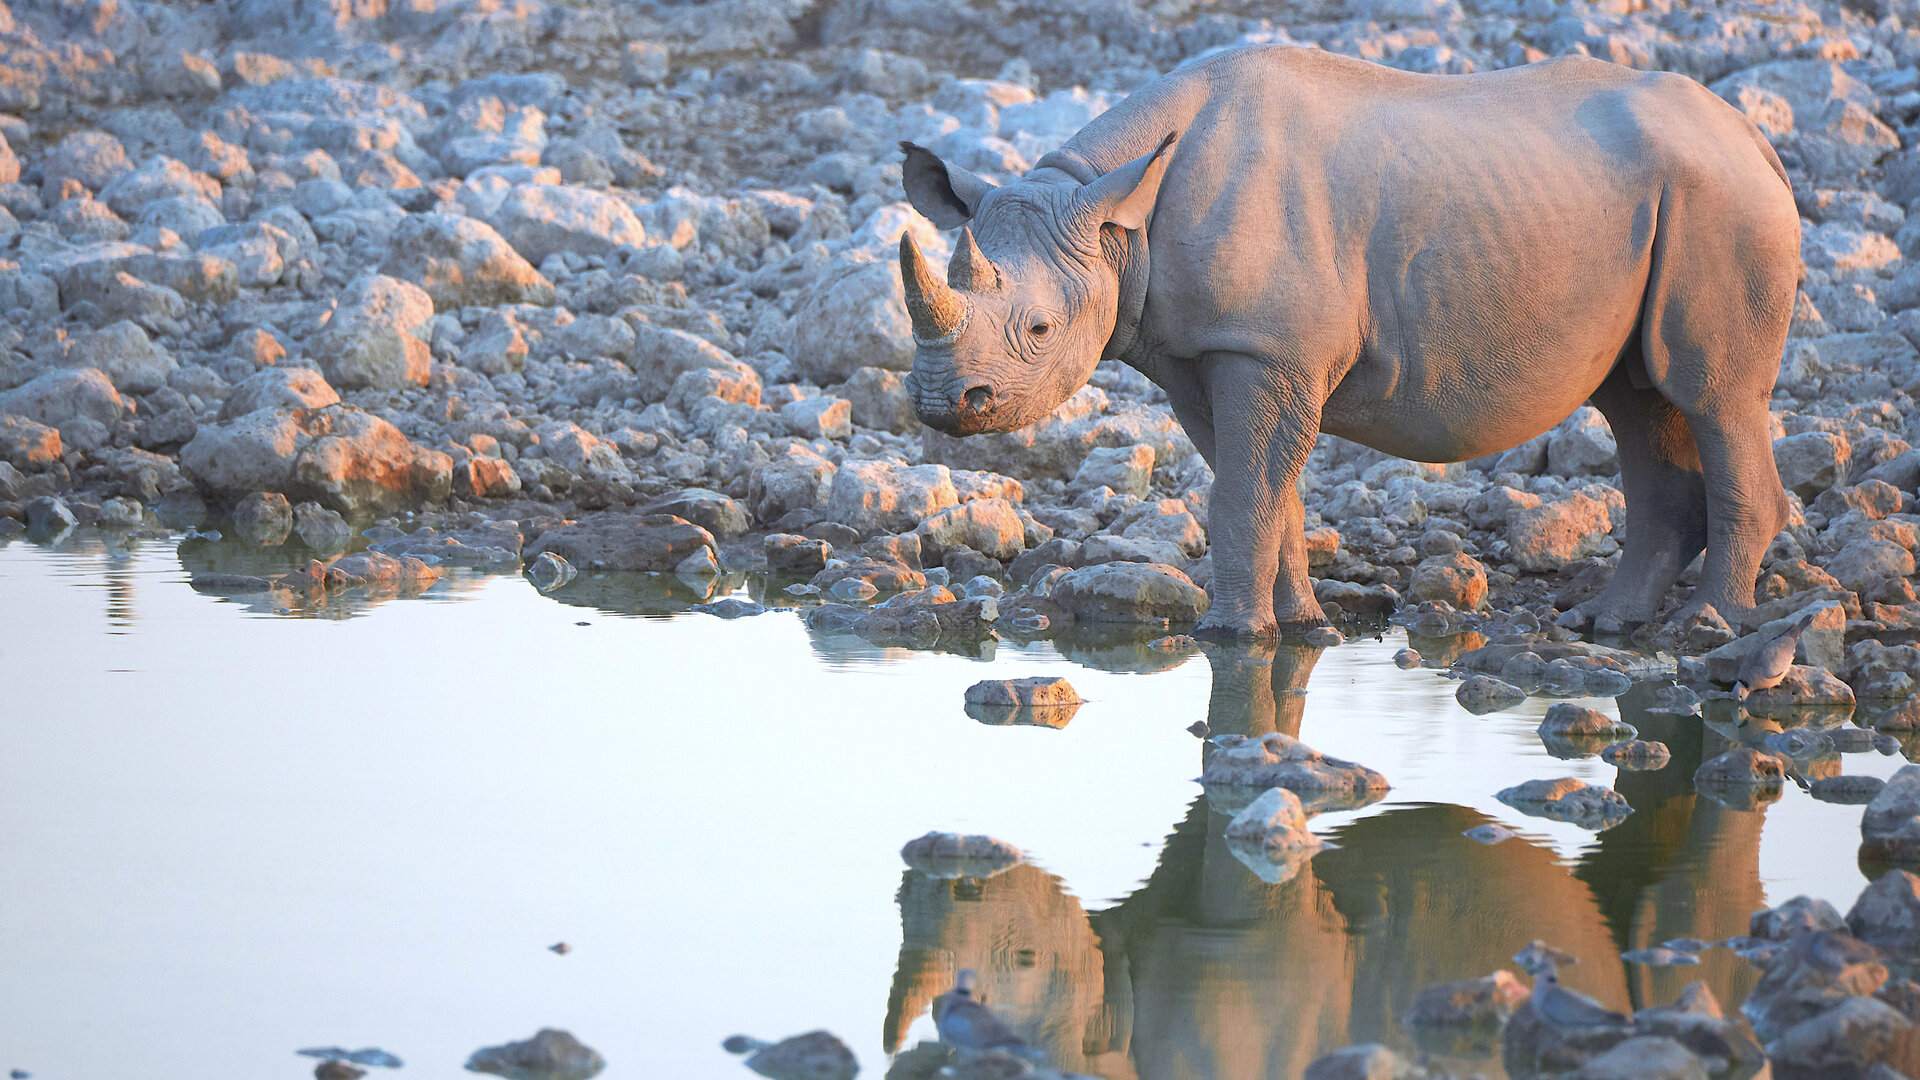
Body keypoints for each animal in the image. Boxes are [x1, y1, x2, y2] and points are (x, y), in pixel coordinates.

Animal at [898, 45, 1799, 637]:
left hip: (1722, 202)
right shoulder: (1205, 353)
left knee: (1712, 396)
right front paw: (1299, 626)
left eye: (1040, 330)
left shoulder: (1265, 348)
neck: (1113, 214)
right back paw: (1605, 624)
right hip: (1668, 201)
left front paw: (1231, 636)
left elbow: (1244, 494)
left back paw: (1708, 628)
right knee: (1640, 402)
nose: (944, 405)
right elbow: (1265, 492)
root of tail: (1752, 137)